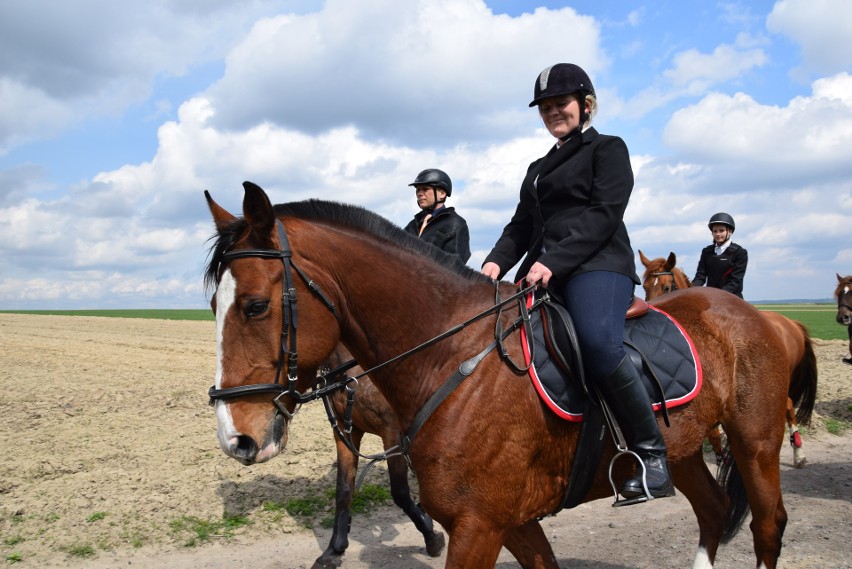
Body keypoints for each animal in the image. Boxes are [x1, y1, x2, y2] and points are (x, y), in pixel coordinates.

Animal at [205, 183, 792, 568]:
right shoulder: (510, 522)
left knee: (767, 526)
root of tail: (755, 316)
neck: (451, 355)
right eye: (212, 304)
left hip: (756, 444)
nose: (237, 439)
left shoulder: (478, 526)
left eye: (255, 306)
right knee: (713, 512)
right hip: (686, 450)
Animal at [640, 252, 820, 466]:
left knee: (788, 406)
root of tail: (790, 323)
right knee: (789, 404)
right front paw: (719, 454)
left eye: (667, 287)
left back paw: (799, 453)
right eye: (645, 286)